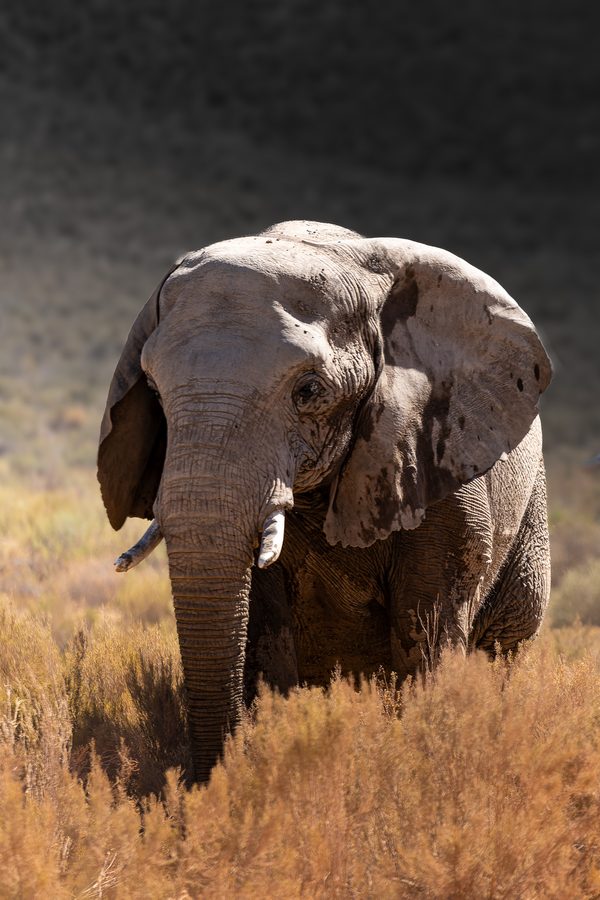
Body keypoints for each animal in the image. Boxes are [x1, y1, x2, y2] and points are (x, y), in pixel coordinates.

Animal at [98, 220, 552, 782]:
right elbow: (265, 639)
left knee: (503, 648)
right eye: (156, 392)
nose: (200, 786)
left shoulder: (438, 462)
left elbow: (425, 636)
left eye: (309, 391)